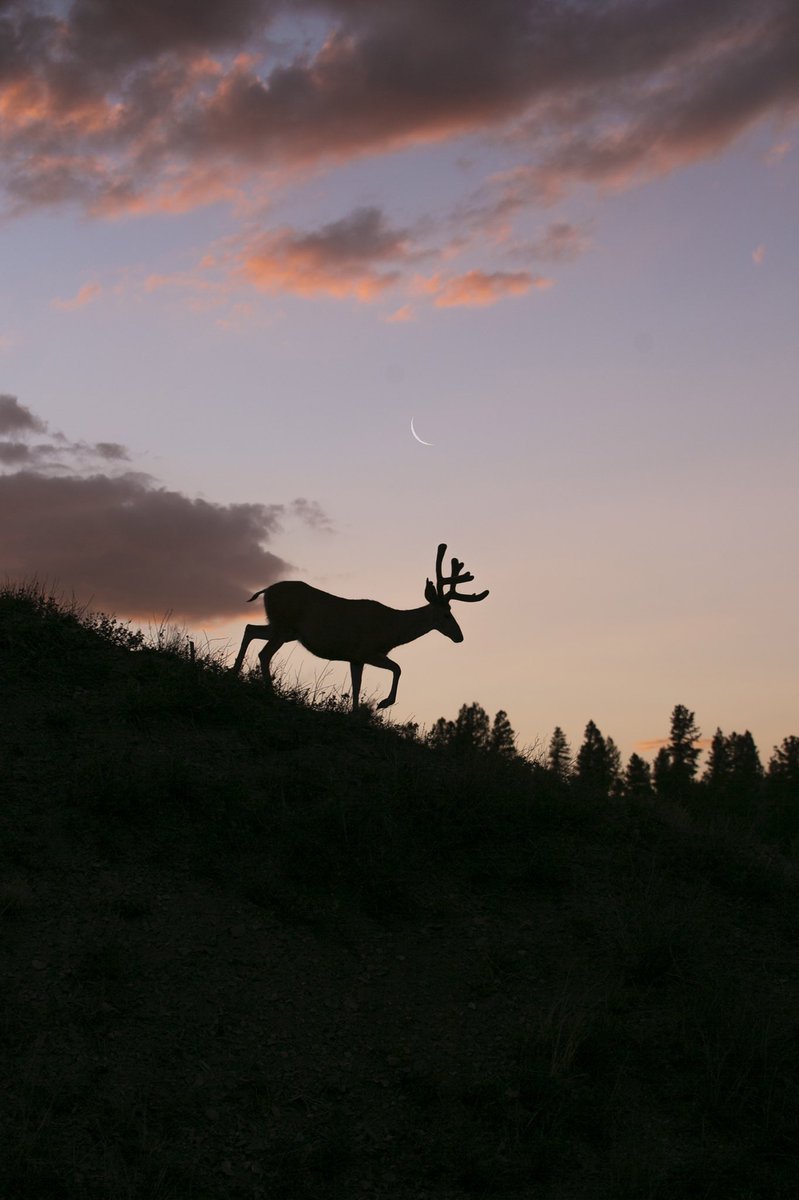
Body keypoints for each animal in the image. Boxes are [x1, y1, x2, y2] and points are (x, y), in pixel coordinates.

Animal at [231, 543, 488, 711]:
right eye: (446, 614)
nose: (459, 636)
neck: (392, 629)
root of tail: (266, 590)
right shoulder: (367, 650)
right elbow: (398, 668)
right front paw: (383, 703)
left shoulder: (355, 658)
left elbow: (357, 686)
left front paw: (355, 713)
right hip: (283, 626)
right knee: (264, 653)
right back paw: (268, 689)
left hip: (281, 628)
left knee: (250, 628)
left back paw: (234, 672)